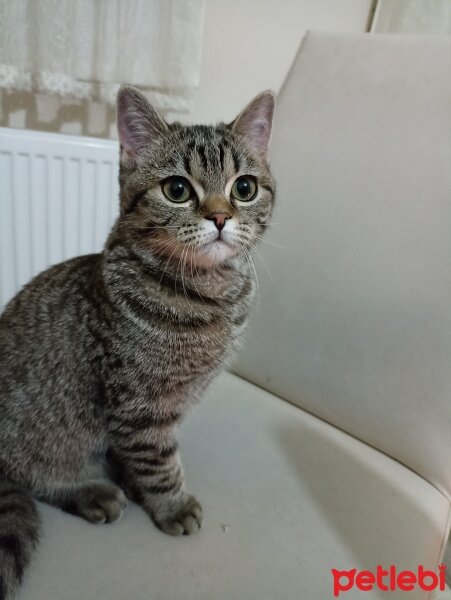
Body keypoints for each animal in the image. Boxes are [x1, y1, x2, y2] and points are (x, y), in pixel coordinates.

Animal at [0, 86, 276, 596]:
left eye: (244, 188)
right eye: (177, 190)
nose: (220, 216)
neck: (208, 295)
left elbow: (139, 458)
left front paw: (139, 483)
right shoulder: (139, 405)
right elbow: (159, 461)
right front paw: (171, 504)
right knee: (33, 471)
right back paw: (89, 491)